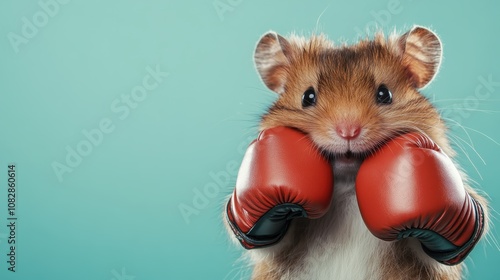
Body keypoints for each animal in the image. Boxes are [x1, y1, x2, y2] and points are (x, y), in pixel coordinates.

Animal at [226, 25, 488, 278]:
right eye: (307, 97)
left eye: (384, 94)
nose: (348, 131)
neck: (348, 191)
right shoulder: (276, 248)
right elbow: (268, 238)